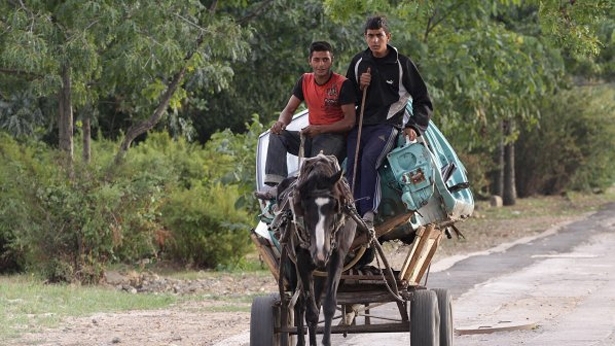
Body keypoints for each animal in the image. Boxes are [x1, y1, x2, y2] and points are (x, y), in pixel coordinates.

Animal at [278, 153, 358, 346]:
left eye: (334, 206)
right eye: (304, 208)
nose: (320, 253)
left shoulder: (337, 257)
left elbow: (328, 305)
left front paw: (326, 341)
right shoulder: (301, 262)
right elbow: (311, 313)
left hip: (320, 272)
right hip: (293, 268)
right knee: (299, 306)